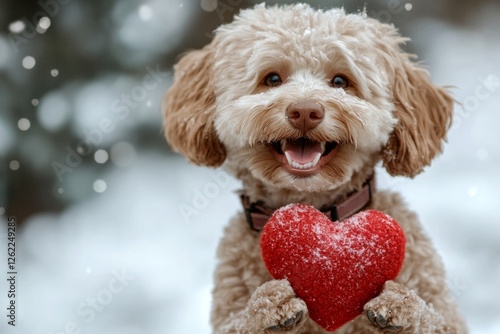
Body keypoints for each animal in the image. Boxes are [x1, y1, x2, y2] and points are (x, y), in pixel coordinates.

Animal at [162, 3, 466, 334]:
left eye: (340, 81)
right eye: (272, 79)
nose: (305, 111)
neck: (314, 205)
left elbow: (433, 319)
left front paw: (400, 305)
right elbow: (242, 322)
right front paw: (269, 305)